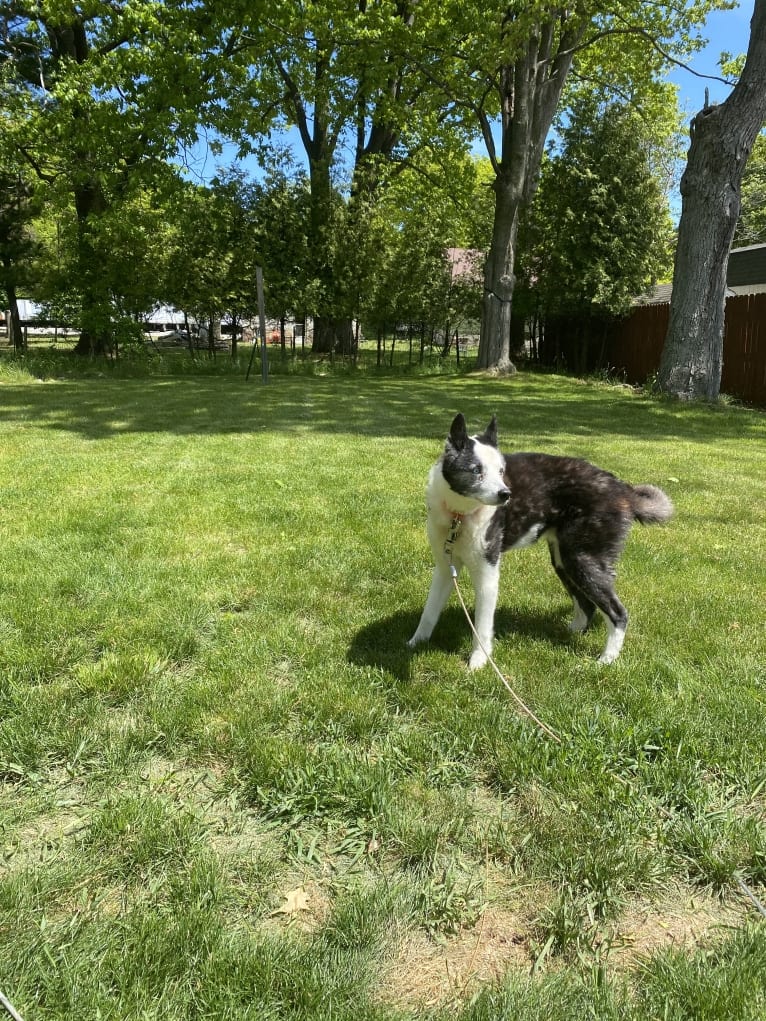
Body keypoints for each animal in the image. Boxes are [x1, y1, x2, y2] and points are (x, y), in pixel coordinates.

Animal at [408, 414, 669, 669]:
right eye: (475, 470)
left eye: (501, 471)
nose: (506, 495)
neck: (459, 515)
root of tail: (623, 490)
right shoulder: (445, 568)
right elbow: (429, 611)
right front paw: (415, 643)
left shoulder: (487, 573)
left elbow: (481, 627)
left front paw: (478, 662)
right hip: (564, 562)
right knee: (588, 606)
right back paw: (570, 633)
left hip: (582, 561)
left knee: (618, 613)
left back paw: (607, 659)